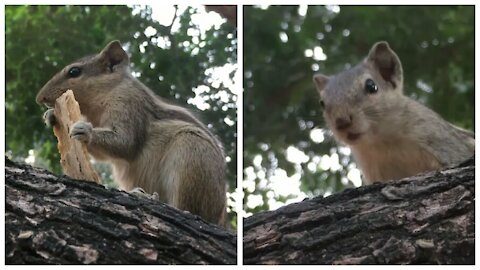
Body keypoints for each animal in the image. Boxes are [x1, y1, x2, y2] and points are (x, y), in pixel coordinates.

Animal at [35, 40, 227, 226]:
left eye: (74, 71)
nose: (40, 98)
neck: (109, 91)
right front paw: (51, 116)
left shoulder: (129, 103)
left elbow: (125, 143)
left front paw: (86, 131)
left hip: (192, 154)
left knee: (186, 208)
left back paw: (149, 197)